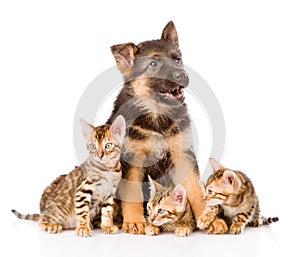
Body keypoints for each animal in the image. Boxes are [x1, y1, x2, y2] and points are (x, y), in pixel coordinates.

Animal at [108, 21, 227, 233]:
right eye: (153, 64)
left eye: (178, 60)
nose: (182, 75)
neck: (157, 115)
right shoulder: (132, 159)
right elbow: (132, 192)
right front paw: (135, 221)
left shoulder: (184, 156)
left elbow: (196, 190)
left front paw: (209, 219)